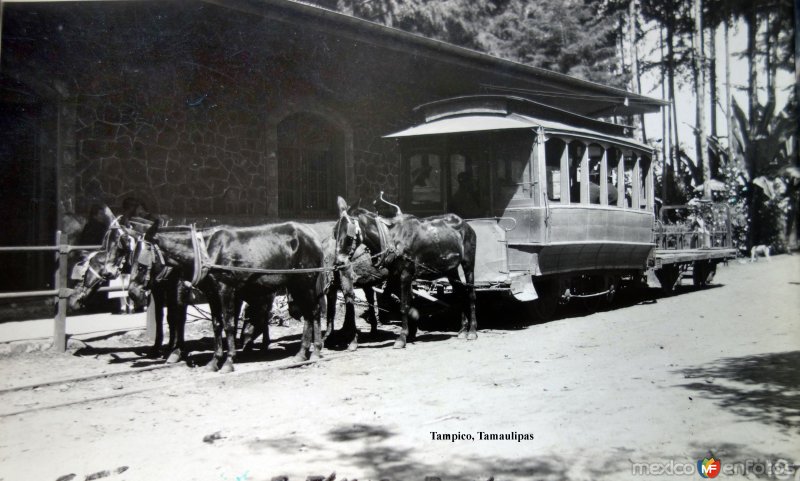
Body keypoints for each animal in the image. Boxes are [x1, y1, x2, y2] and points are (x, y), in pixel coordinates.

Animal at [142, 221, 326, 372]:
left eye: (143, 255)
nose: (138, 288)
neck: (206, 251)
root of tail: (312, 235)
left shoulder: (226, 290)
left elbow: (229, 324)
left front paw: (228, 361)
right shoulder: (212, 294)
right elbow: (217, 325)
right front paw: (214, 361)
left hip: (305, 282)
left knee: (313, 312)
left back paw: (312, 351)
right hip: (295, 284)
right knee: (309, 314)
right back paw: (305, 352)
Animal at [334, 197, 478, 346]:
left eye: (349, 234)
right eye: (334, 232)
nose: (339, 262)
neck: (391, 238)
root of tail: (464, 223)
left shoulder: (406, 273)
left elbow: (404, 304)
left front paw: (402, 337)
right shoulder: (394, 274)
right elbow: (392, 299)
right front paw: (412, 325)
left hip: (468, 263)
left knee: (470, 294)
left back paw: (472, 331)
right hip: (451, 270)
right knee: (460, 293)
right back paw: (462, 330)